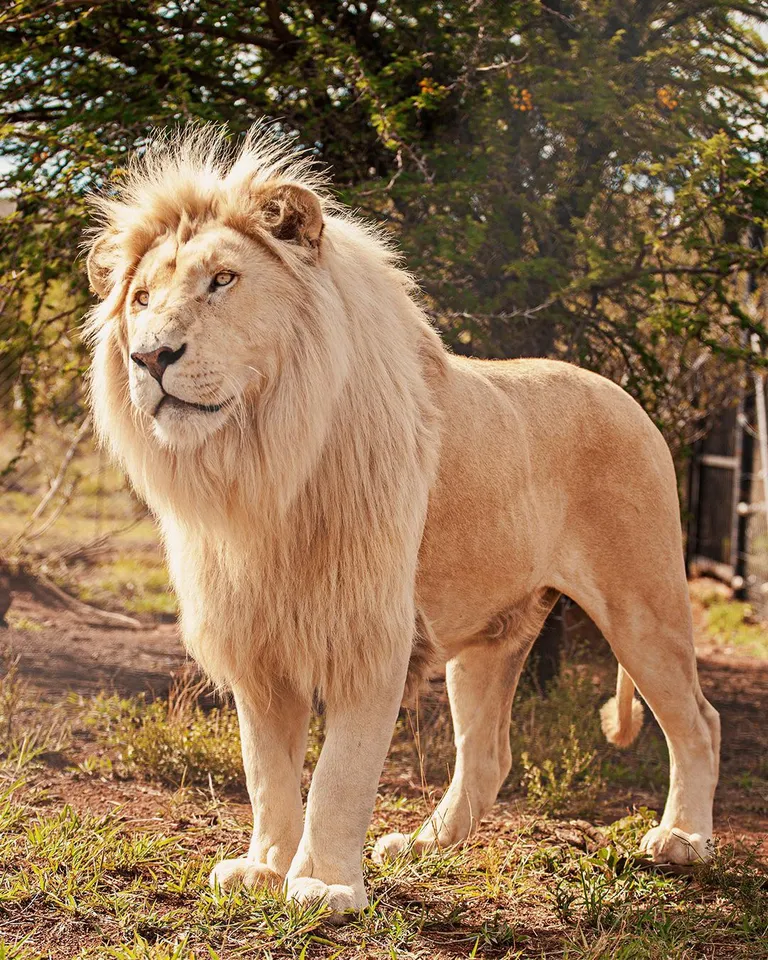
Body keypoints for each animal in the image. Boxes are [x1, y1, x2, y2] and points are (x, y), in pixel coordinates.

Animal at [84, 125, 720, 918]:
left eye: (222, 280)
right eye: (140, 298)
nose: (150, 356)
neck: (261, 465)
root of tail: (625, 395)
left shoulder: (369, 635)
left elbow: (339, 775)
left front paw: (323, 884)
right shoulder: (257, 641)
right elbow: (267, 773)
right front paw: (264, 868)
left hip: (642, 604)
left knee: (699, 720)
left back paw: (683, 840)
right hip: (488, 639)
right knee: (489, 752)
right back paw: (424, 846)